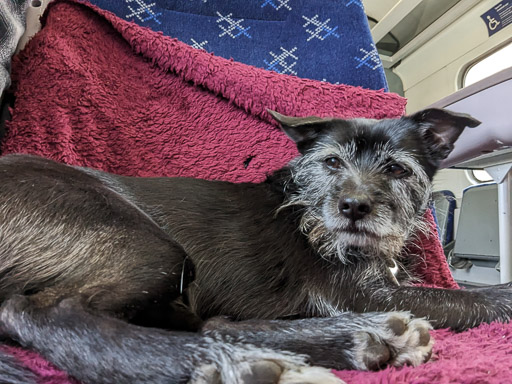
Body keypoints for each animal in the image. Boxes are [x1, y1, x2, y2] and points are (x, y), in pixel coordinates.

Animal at [0, 108, 508, 384]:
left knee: (214, 323)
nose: (353, 207)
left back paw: (358, 340)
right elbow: (479, 300)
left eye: (398, 169)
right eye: (331, 162)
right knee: (45, 311)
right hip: (150, 248)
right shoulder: (358, 293)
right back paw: (242, 367)